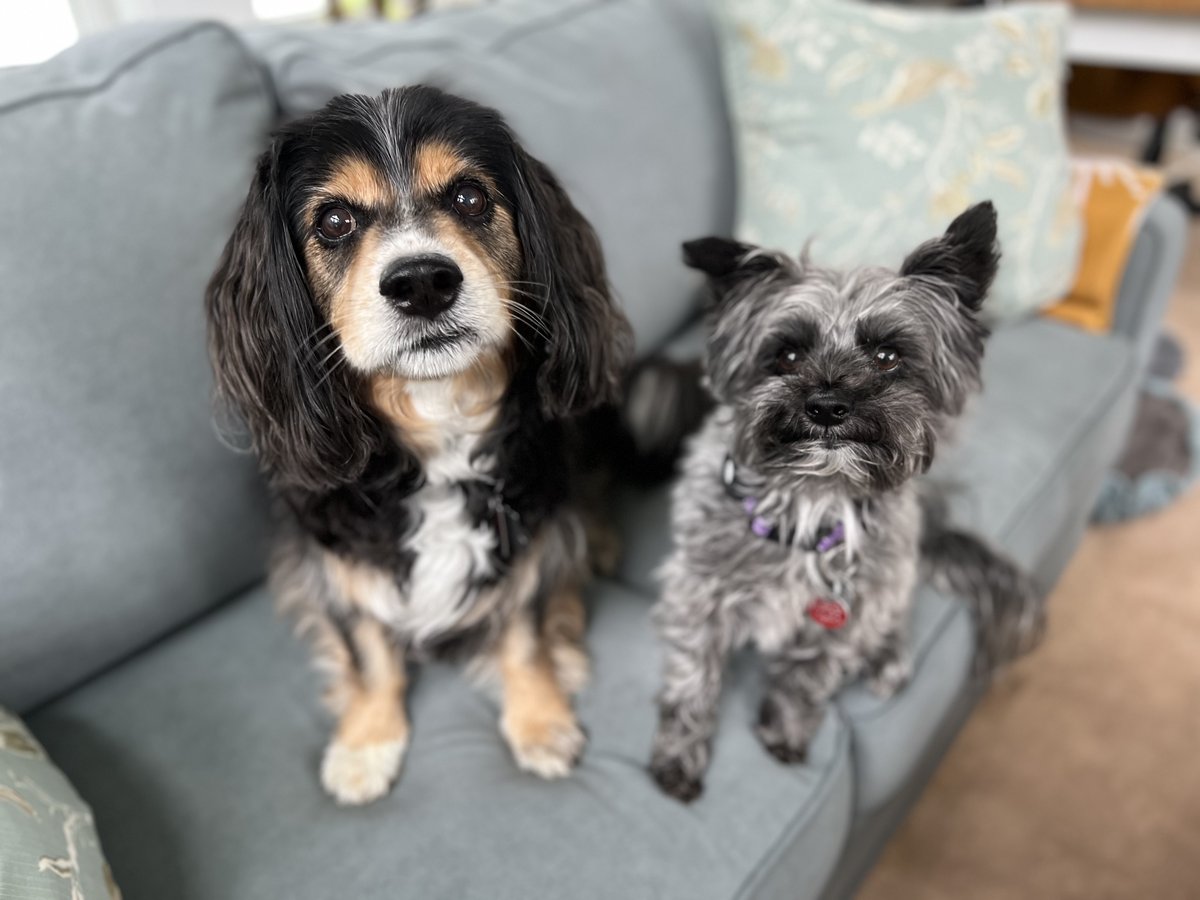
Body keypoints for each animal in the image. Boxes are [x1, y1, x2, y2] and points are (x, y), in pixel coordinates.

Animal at [210, 86, 633, 801]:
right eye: (334, 221)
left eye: (469, 196)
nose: (422, 282)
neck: (439, 422)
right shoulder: (335, 556)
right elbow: (368, 650)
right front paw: (366, 743)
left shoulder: (527, 536)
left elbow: (523, 633)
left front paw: (540, 721)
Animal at [648, 202, 1041, 801]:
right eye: (786, 354)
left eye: (887, 355)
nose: (827, 405)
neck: (813, 500)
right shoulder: (697, 595)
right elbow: (694, 680)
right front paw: (679, 756)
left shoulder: (852, 614)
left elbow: (809, 676)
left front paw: (785, 730)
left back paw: (890, 656)